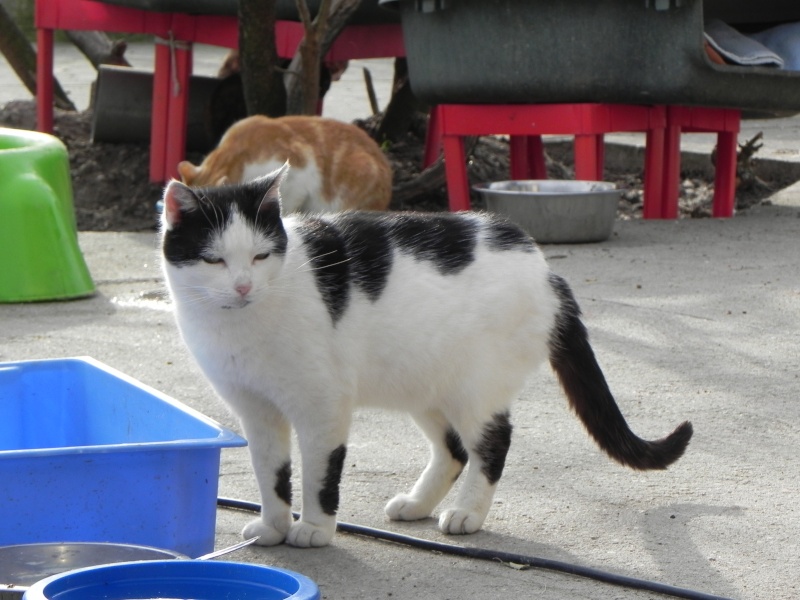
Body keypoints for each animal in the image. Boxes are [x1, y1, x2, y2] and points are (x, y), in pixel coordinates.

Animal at [159, 164, 692, 548]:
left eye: (261, 256)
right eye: (214, 260)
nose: (243, 286)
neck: (241, 325)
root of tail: (547, 269)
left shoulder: (321, 408)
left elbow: (318, 475)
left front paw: (312, 529)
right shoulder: (257, 412)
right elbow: (271, 473)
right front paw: (272, 527)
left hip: (474, 390)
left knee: (492, 444)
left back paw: (467, 513)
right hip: (425, 385)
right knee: (453, 449)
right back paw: (417, 505)